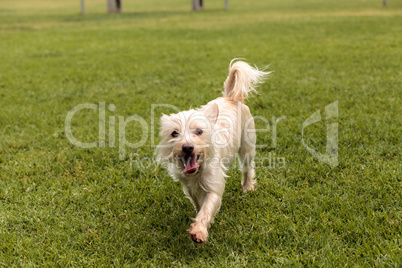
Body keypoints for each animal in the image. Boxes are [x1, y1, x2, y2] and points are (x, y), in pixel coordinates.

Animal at [155, 60, 268, 243]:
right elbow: (198, 204)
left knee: (247, 169)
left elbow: (206, 209)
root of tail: (231, 97)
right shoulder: (189, 188)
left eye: (199, 131)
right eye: (174, 133)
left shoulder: (214, 187)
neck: (197, 171)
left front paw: (199, 231)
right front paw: (196, 219)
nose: (187, 147)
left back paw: (248, 187)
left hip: (247, 148)